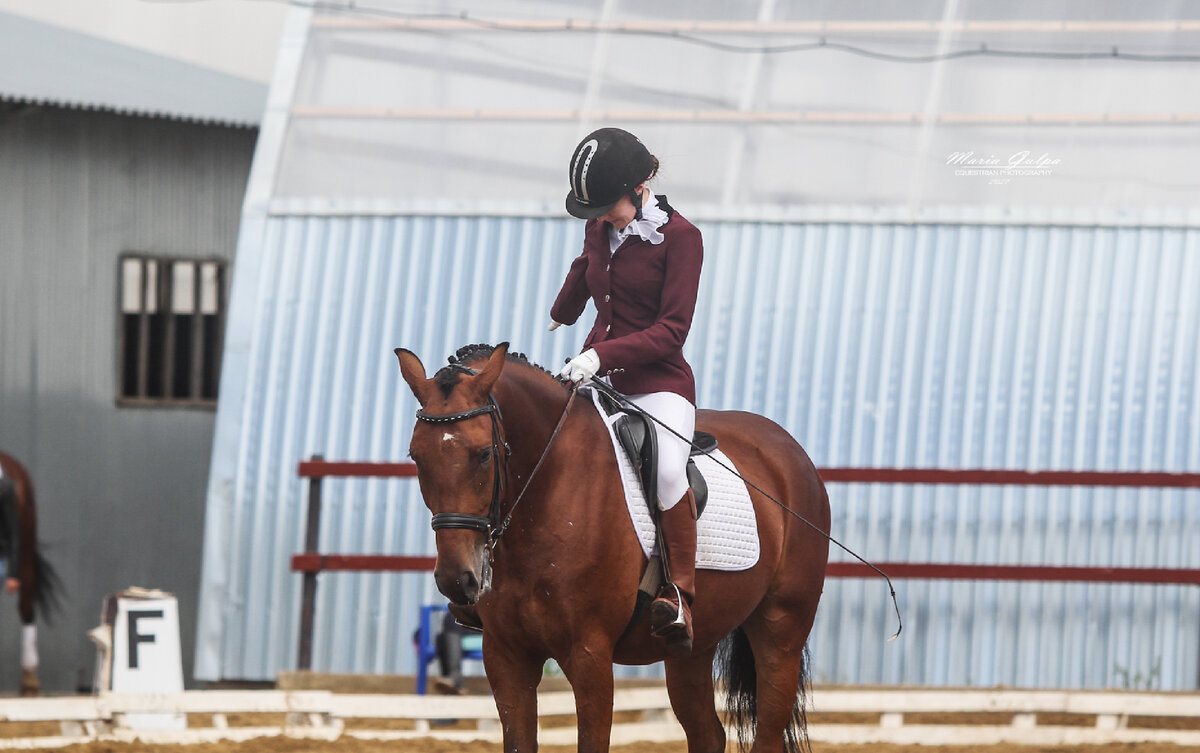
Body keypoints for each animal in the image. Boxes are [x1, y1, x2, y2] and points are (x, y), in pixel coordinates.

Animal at [398, 342, 830, 753]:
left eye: (484, 454)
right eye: (415, 456)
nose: (457, 580)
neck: (550, 488)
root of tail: (788, 449)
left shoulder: (590, 655)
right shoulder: (505, 656)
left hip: (781, 629)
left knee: (767, 733)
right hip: (691, 646)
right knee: (708, 734)